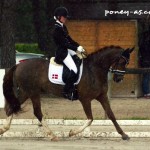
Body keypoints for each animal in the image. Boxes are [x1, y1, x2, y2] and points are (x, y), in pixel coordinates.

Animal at [0, 45, 134, 141]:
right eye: (122, 62)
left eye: (127, 63)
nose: (119, 79)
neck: (94, 70)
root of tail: (18, 65)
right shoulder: (85, 99)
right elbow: (90, 118)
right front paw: (72, 132)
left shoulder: (102, 96)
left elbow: (111, 115)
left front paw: (124, 134)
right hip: (30, 92)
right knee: (32, 111)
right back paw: (52, 135)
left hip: (28, 92)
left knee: (16, 107)